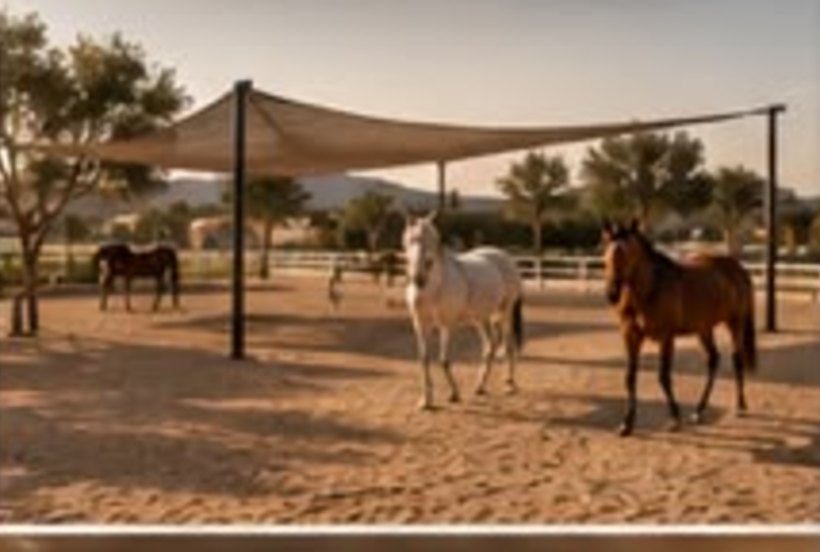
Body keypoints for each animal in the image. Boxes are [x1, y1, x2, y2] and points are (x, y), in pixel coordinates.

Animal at [402, 211, 524, 410]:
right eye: (411, 239)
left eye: (433, 239)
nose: (419, 278)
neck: (434, 289)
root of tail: (504, 257)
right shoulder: (420, 325)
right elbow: (424, 359)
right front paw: (426, 401)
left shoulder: (446, 326)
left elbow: (444, 360)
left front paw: (454, 394)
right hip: (482, 319)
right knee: (490, 347)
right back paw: (480, 387)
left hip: (505, 312)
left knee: (509, 346)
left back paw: (509, 385)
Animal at [601, 219, 757, 436]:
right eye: (605, 255)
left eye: (627, 254)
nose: (612, 294)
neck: (651, 289)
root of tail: (738, 269)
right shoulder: (631, 336)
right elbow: (630, 377)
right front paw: (627, 424)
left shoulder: (666, 337)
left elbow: (663, 377)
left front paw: (675, 418)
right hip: (704, 329)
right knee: (713, 359)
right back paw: (699, 411)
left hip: (735, 323)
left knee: (737, 359)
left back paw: (740, 406)